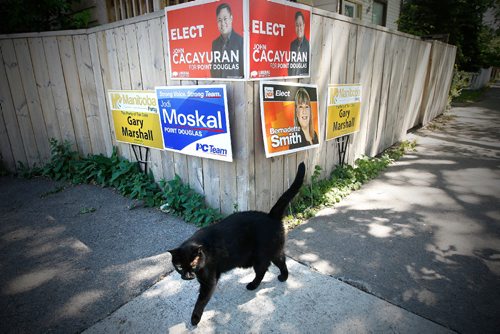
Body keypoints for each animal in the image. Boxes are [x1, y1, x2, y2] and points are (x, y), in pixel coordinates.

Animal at [168, 163, 304, 324]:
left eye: (193, 264)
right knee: (281, 260)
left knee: (263, 270)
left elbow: (201, 300)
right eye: (179, 266)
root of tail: (271, 216)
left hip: (261, 256)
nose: (188, 276)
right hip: (274, 251)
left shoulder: (208, 280)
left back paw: (255, 285)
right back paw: (283, 277)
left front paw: (195, 318)